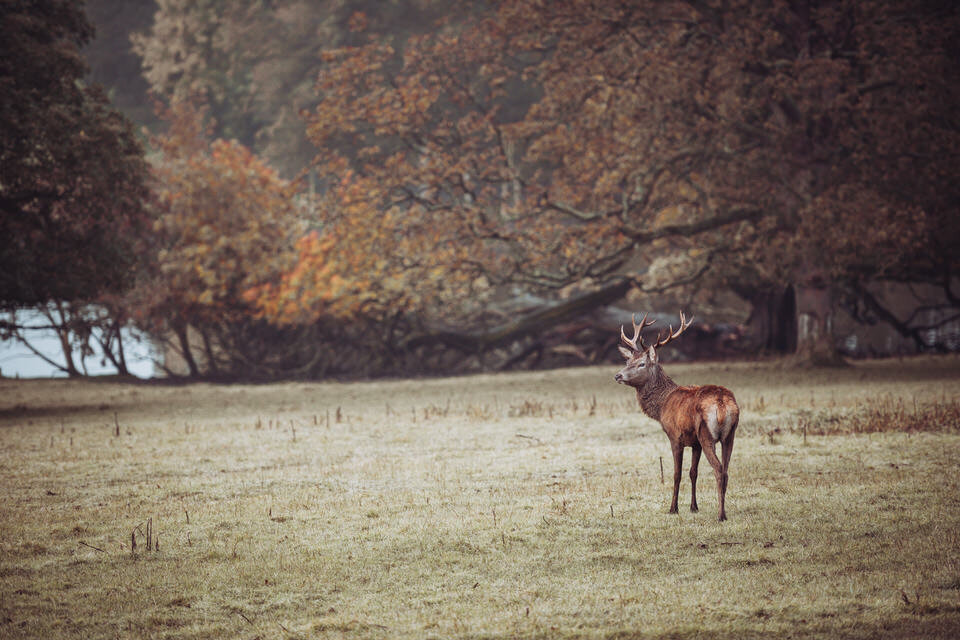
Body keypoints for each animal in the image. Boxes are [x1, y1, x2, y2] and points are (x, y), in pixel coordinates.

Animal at [616, 312, 744, 524]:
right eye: (627, 362)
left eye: (641, 364)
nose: (618, 375)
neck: (662, 407)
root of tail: (722, 403)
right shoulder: (695, 443)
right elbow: (693, 472)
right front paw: (694, 507)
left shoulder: (675, 436)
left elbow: (676, 474)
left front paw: (673, 508)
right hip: (730, 435)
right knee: (726, 470)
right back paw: (723, 510)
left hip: (707, 434)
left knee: (718, 469)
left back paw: (721, 515)